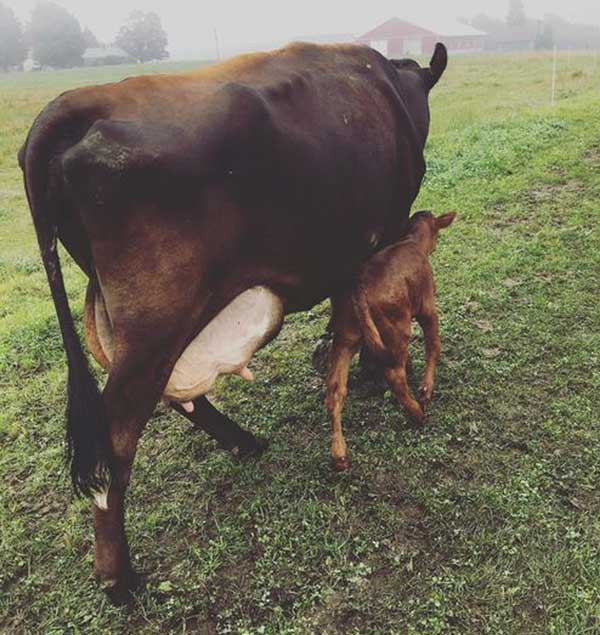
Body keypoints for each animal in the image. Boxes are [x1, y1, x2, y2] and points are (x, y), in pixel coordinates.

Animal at [326, 211, 458, 470]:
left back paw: (339, 454)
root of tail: (360, 287)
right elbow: (434, 345)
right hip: (397, 328)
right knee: (395, 376)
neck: (412, 242)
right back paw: (416, 413)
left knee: (335, 389)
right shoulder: (428, 307)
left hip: (346, 338)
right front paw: (426, 390)